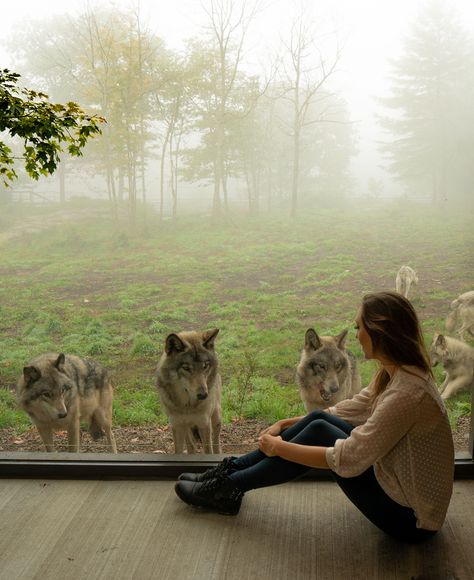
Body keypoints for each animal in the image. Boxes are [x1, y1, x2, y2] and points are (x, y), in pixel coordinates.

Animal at [156, 328, 222, 456]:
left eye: (205, 366)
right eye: (186, 368)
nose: (203, 395)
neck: (187, 406)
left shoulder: (204, 424)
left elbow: (208, 450)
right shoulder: (177, 425)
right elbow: (179, 450)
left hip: (216, 418)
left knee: (216, 442)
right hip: (185, 427)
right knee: (191, 445)